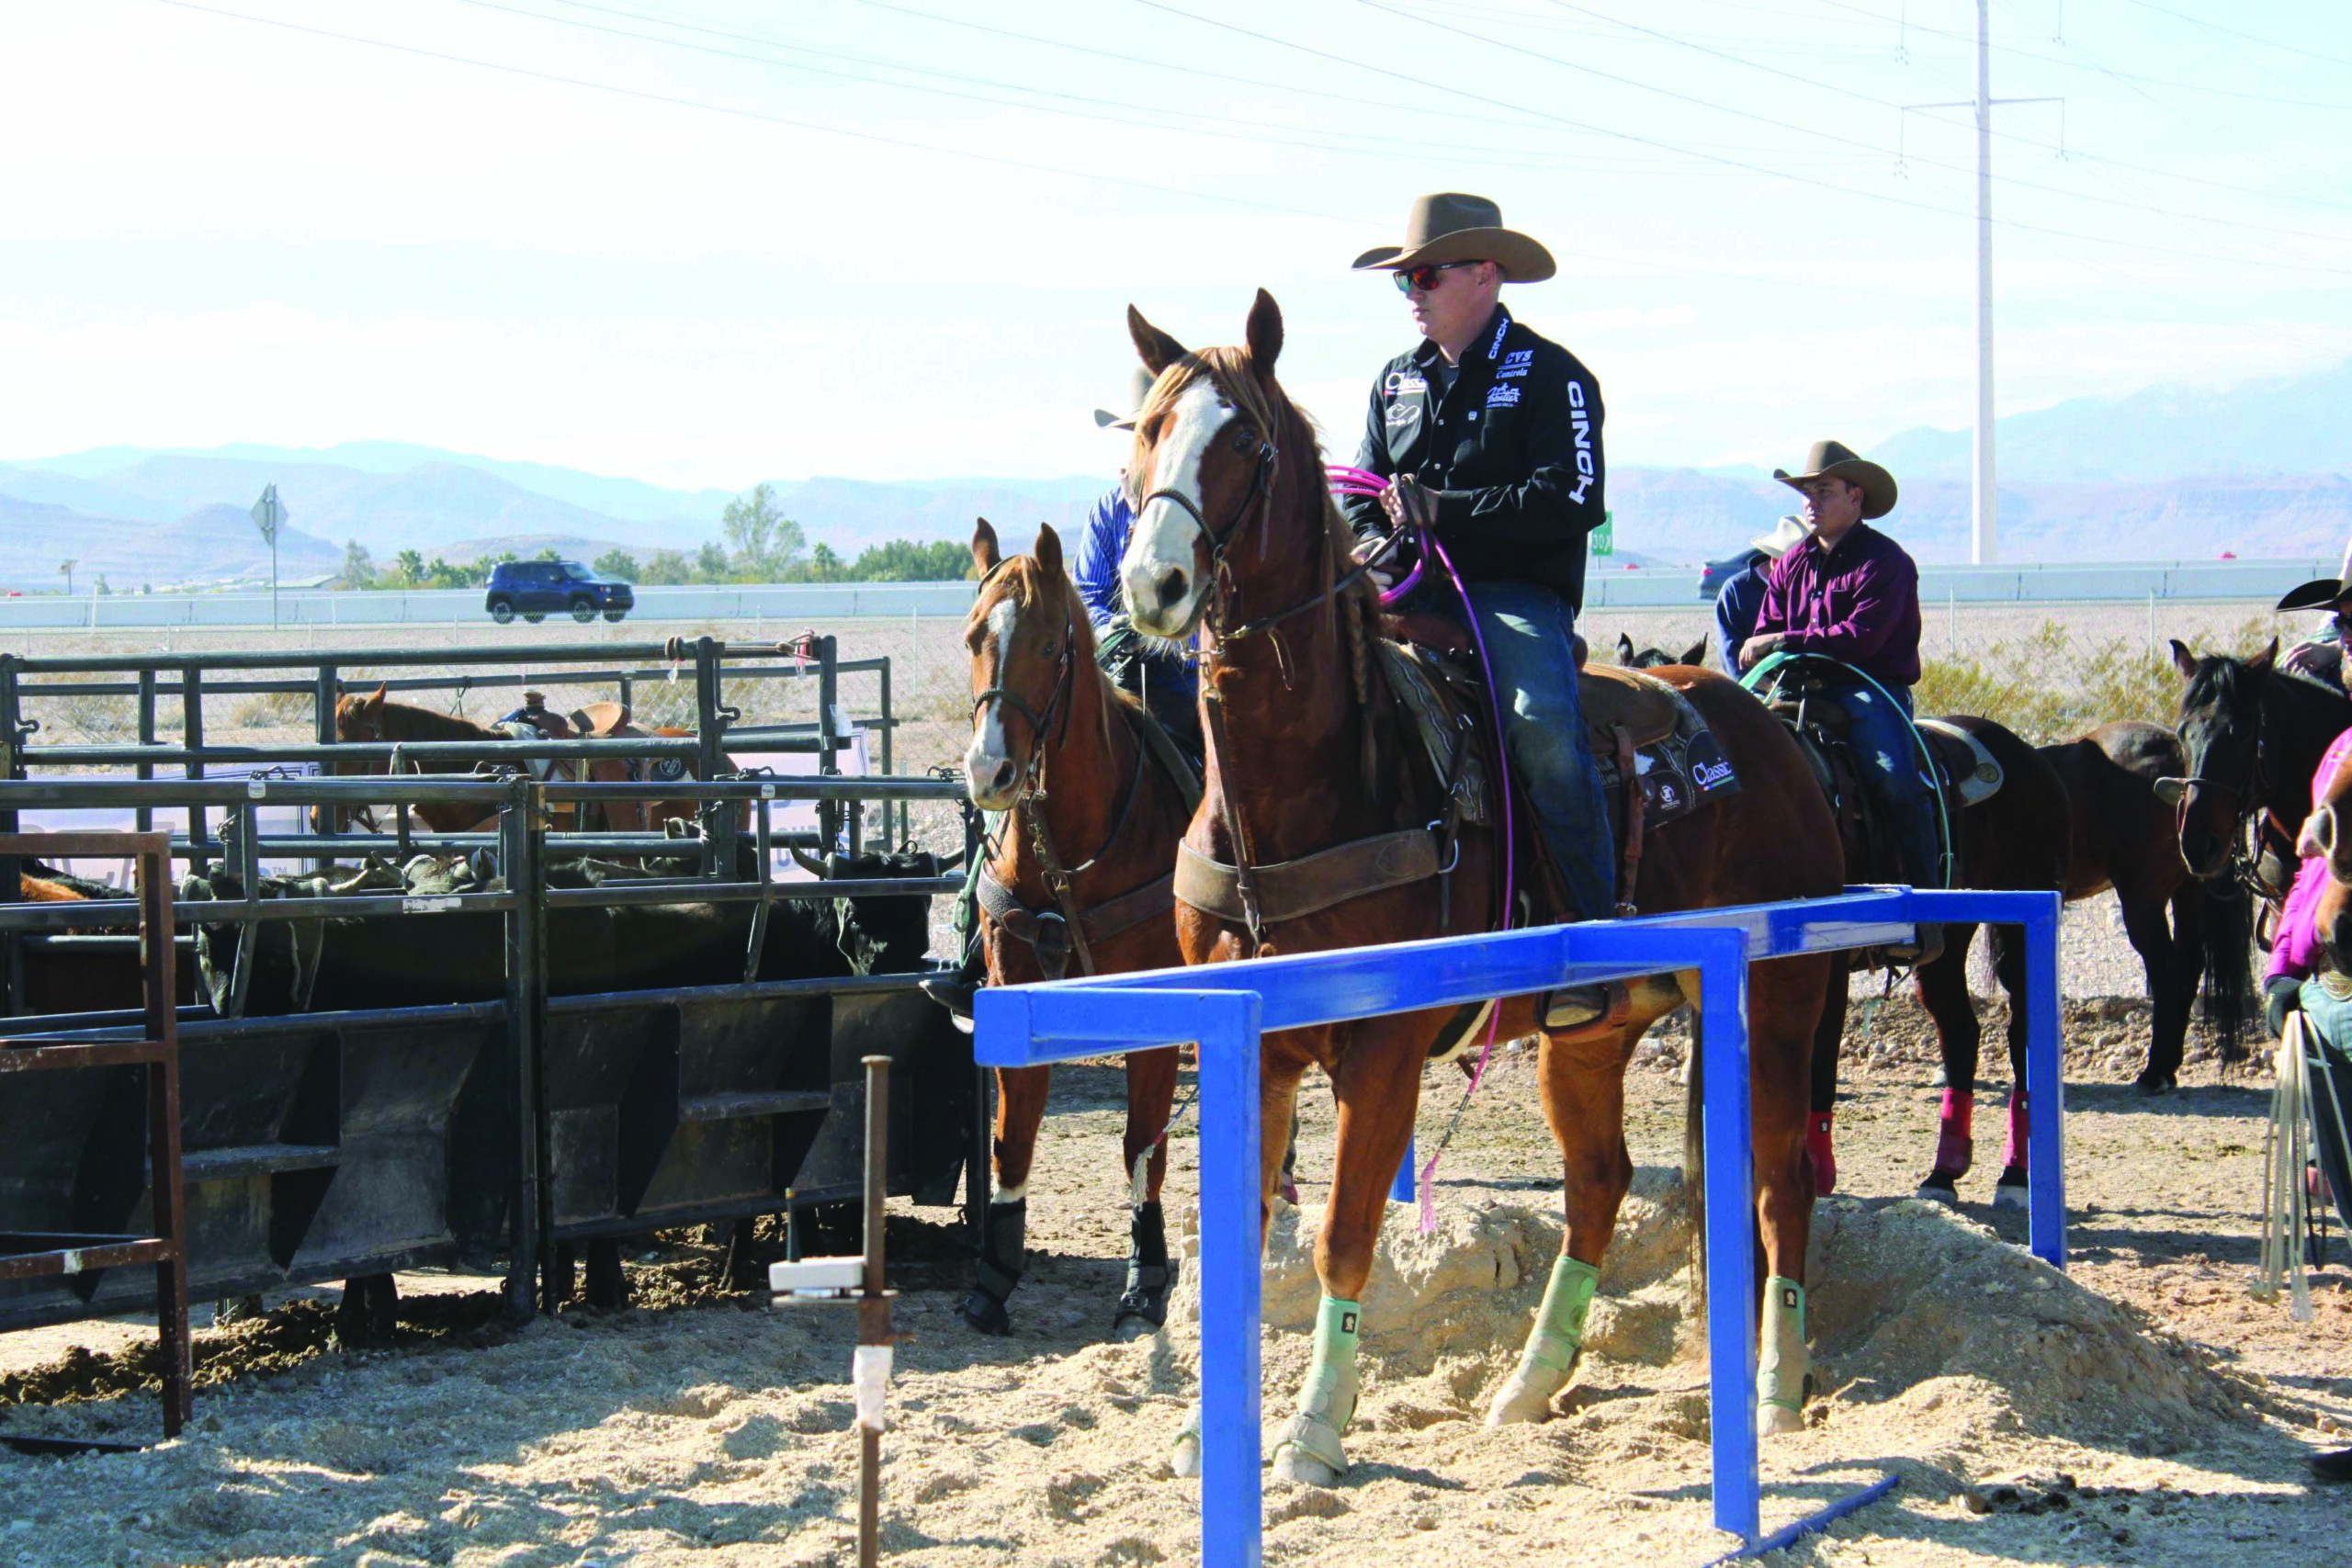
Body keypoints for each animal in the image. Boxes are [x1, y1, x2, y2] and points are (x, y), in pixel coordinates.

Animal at [955, 522, 1194, 1344]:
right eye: (974, 638)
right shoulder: (1014, 991)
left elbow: (1142, 1146)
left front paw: (1144, 1281)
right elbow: (1012, 1140)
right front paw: (993, 1278)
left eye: (1048, 644)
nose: (990, 773)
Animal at [1110, 297, 1844, 1485]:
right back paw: (1528, 1385)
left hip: (1777, 1004)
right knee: (1599, 1181)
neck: (1309, 787)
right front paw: (1202, 1435)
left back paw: (1777, 1391)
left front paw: (1313, 1433)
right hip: (1589, 1035)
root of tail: (1769, 732)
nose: (1154, 586)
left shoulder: (1381, 1047)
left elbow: (1341, 1237)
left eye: (1249, 441)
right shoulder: (1255, 1043)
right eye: (1146, 429)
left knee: (1781, 1179)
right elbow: (1240, 1240)